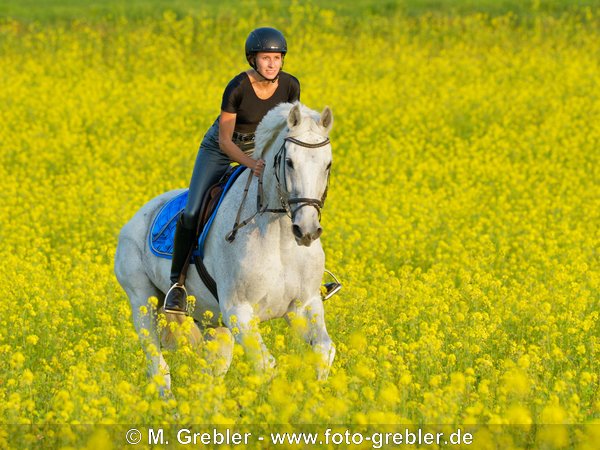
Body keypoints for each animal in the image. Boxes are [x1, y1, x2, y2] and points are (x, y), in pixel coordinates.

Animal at [113, 101, 338, 390]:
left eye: (327, 164)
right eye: (289, 162)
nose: (307, 230)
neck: (278, 235)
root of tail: (134, 220)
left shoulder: (304, 305)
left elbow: (323, 351)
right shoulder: (239, 312)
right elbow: (267, 366)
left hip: (211, 321)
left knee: (208, 375)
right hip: (143, 303)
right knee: (159, 369)